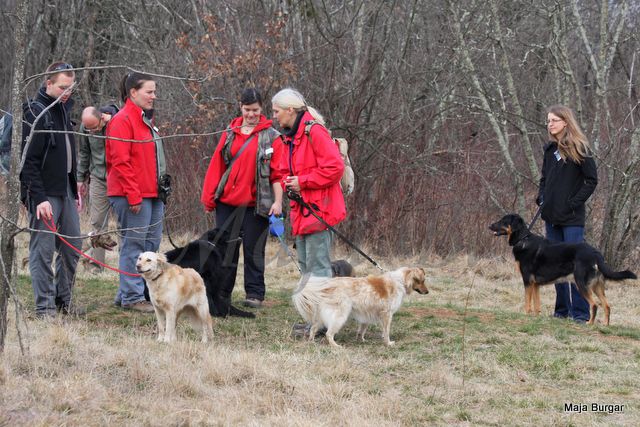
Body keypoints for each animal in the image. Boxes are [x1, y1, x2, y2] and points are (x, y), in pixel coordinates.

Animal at [292, 270, 428, 350]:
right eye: (421, 281)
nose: (427, 292)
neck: (400, 281)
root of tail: (327, 285)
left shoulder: (367, 315)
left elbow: (362, 330)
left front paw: (361, 340)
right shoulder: (387, 315)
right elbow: (386, 332)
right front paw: (388, 343)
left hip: (323, 317)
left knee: (314, 328)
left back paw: (311, 342)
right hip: (340, 316)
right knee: (329, 334)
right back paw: (336, 346)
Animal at [490, 216, 636, 326]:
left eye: (504, 221)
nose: (489, 226)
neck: (523, 239)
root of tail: (595, 253)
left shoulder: (527, 281)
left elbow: (527, 302)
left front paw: (526, 315)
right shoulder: (535, 284)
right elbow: (537, 304)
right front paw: (536, 318)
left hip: (581, 284)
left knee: (594, 305)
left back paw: (589, 324)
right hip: (597, 286)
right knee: (607, 306)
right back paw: (605, 325)